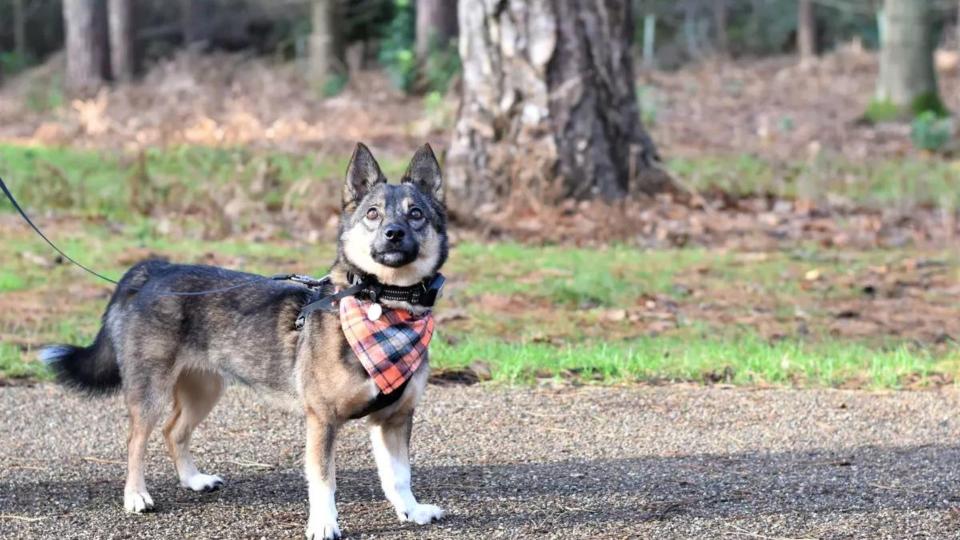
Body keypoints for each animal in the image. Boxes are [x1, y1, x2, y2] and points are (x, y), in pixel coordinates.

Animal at [40, 143, 450, 540]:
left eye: (416, 214)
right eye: (372, 214)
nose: (393, 233)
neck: (382, 303)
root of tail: (155, 269)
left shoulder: (394, 419)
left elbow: (400, 476)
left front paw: (411, 511)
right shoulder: (322, 420)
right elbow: (323, 481)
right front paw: (323, 524)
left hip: (204, 389)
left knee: (174, 431)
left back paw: (193, 479)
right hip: (151, 391)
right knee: (135, 440)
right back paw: (136, 495)